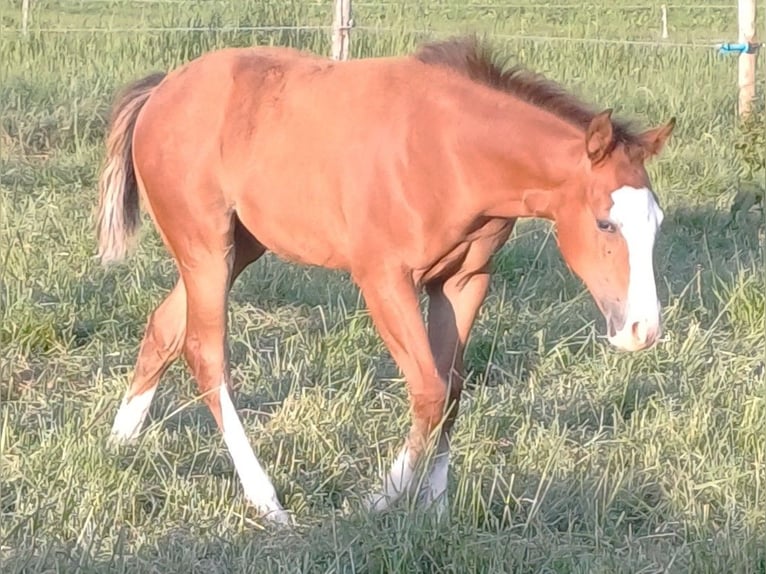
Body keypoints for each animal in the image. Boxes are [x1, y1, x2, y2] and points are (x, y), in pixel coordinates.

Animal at [97, 37, 675, 525]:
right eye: (605, 224)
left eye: (657, 221)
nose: (642, 331)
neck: (449, 152)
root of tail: (162, 90)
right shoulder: (384, 279)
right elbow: (429, 389)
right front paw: (381, 498)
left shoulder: (464, 281)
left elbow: (453, 387)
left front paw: (437, 510)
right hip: (206, 246)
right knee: (207, 353)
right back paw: (266, 501)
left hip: (241, 246)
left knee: (166, 326)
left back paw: (120, 441)